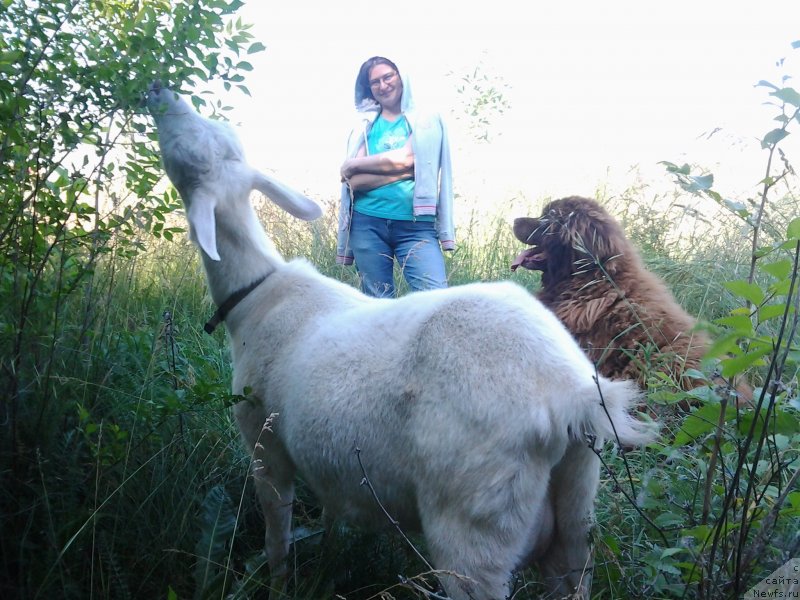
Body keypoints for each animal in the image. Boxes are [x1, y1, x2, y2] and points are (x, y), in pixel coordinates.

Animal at [148, 84, 656, 600]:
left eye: (195, 144)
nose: (158, 91)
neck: (257, 295)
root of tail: (569, 394)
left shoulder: (264, 441)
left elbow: (277, 539)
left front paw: (278, 585)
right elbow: (332, 517)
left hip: (473, 523)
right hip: (576, 509)